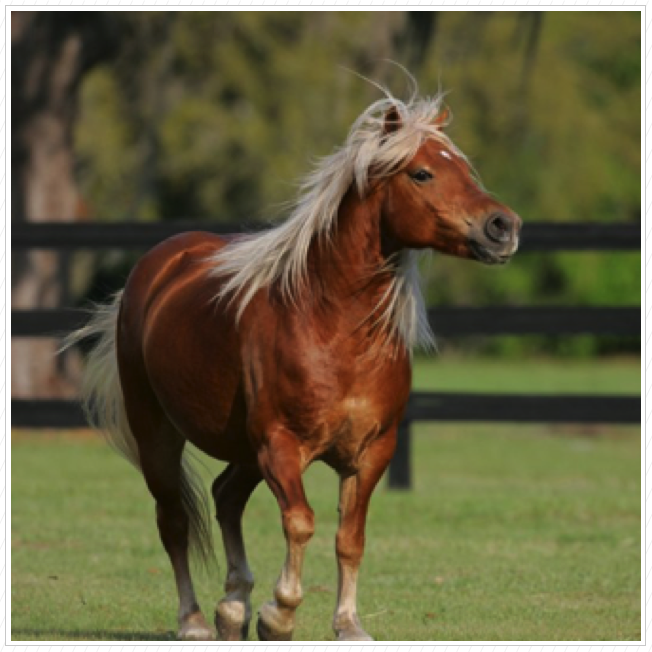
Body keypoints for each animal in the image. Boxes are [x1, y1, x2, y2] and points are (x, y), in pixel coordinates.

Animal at [66, 91, 524, 640]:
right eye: (421, 173)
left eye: (465, 168)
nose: (503, 227)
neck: (333, 326)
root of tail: (157, 267)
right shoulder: (282, 446)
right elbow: (301, 522)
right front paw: (279, 614)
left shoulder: (372, 451)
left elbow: (350, 536)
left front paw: (347, 624)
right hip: (159, 432)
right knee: (174, 519)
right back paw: (195, 620)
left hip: (244, 449)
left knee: (225, 497)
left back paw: (232, 608)